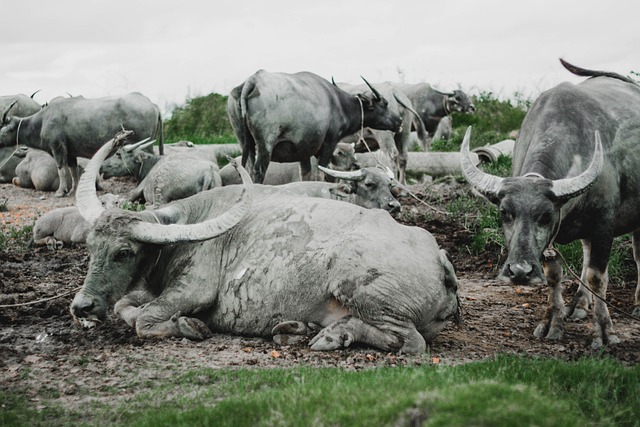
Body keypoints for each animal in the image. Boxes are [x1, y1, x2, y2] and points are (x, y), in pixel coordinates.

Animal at [0, 93, 164, 198]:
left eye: (2, 130)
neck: (42, 121)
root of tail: (153, 105)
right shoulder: (71, 153)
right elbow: (73, 171)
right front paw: (74, 190)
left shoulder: (58, 148)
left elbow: (62, 169)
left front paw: (61, 191)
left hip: (144, 144)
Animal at [228, 70, 402, 184]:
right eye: (385, 103)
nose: (399, 121)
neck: (338, 103)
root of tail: (253, 80)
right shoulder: (329, 143)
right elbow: (322, 174)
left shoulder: (303, 151)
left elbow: (306, 175)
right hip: (265, 144)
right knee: (259, 171)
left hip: (245, 142)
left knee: (248, 169)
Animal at [462, 58, 640, 350]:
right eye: (505, 213)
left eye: (545, 215)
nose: (519, 272)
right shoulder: (552, 242)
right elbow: (554, 275)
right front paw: (552, 323)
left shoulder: (604, 225)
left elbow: (598, 277)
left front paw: (604, 332)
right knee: (586, 252)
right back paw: (579, 305)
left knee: (637, 254)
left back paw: (636, 305)